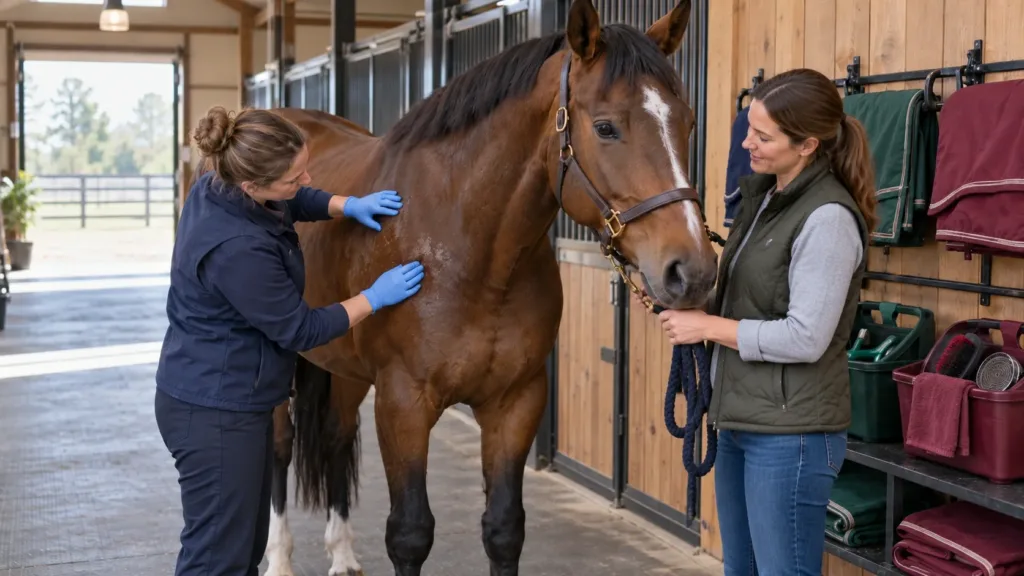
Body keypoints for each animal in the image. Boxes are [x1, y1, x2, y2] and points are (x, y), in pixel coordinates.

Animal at [262, 1, 719, 574]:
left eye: (689, 122)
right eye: (606, 127)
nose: (693, 271)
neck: (470, 255)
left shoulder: (515, 402)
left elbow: (503, 529)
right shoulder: (403, 403)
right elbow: (409, 533)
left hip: (343, 367)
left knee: (335, 437)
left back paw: (342, 554)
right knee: (280, 446)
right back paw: (279, 558)